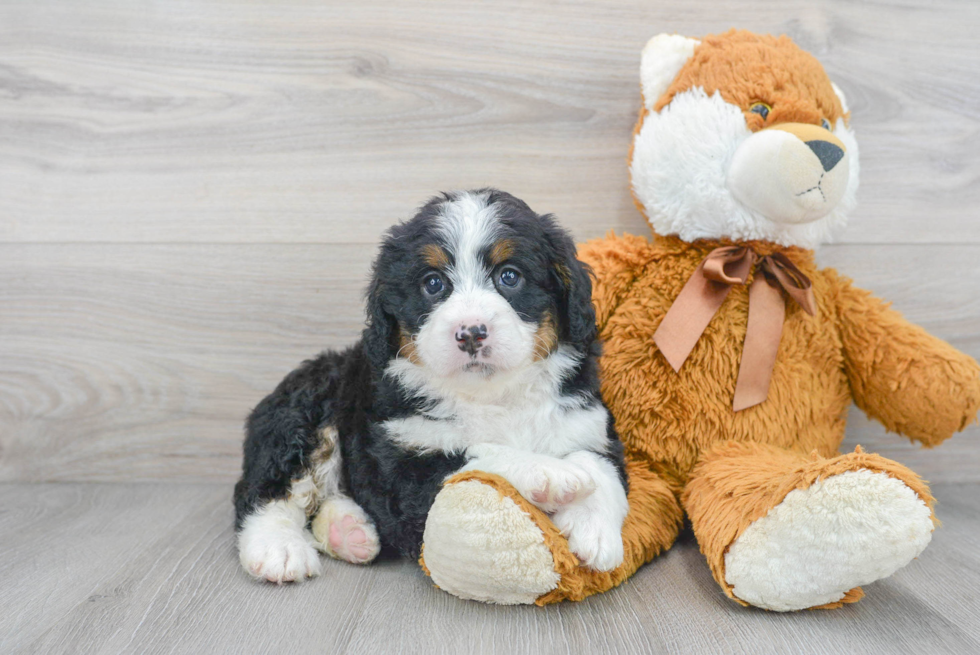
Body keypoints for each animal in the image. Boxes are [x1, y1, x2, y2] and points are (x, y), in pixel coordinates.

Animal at [235, 190, 628, 584]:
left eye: (509, 276)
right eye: (433, 283)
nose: (471, 332)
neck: (493, 395)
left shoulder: (588, 424)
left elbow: (599, 466)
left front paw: (596, 532)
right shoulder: (404, 465)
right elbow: (475, 458)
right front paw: (548, 472)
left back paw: (347, 531)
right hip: (304, 412)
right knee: (266, 489)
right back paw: (279, 549)